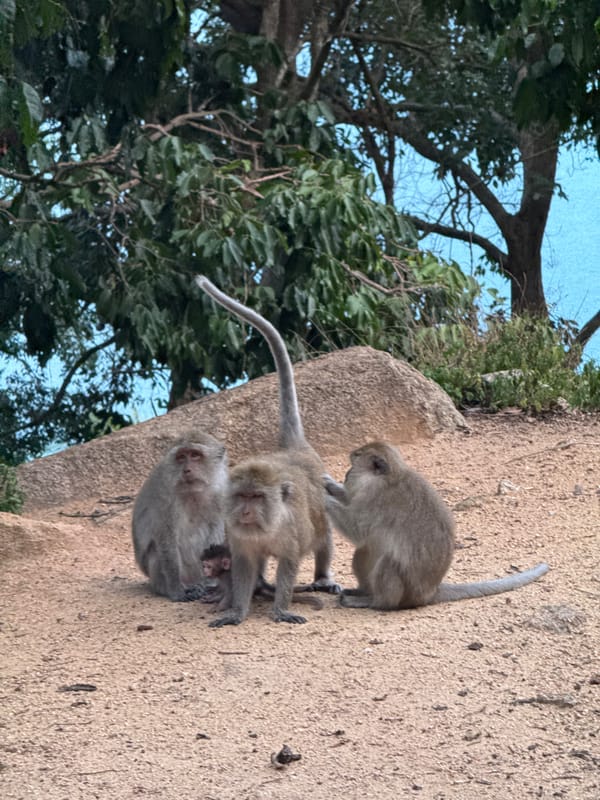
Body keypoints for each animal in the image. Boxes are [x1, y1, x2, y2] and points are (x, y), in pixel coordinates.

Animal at [131, 432, 229, 601]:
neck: (193, 492)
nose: (186, 470)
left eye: (195, 455)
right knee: (157, 550)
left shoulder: (220, 492)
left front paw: (212, 581)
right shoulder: (165, 496)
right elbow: (166, 537)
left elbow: (216, 530)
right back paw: (169, 588)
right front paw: (176, 590)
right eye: (181, 457)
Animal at [196, 275, 339, 626]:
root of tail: (296, 449)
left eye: (258, 497)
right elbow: (245, 565)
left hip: (321, 496)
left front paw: (281, 608)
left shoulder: (291, 533)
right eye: (243, 496)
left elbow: (289, 563)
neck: (268, 526)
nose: (246, 512)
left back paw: (322, 577)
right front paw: (238, 611)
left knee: (323, 535)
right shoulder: (239, 536)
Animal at [323, 441, 549, 610]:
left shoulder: (375, 500)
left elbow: (357, 530)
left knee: (389, 563)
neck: (391, 476)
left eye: (356, 460)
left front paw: (324, 497)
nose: (346, 474)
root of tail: (430, 592)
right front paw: (328, 484)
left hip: (407, 591)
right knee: (364, 552)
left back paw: (374, 602)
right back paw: (362, 591)